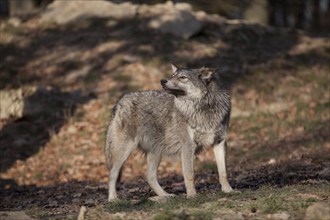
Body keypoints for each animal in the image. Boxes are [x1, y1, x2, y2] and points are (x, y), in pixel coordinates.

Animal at [104, 64, 233, 201]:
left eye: (182, 77)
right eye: (173, 75)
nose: (163, 81)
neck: (204, 108)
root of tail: (120, 101)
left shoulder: (220, 142)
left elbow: (223, 172)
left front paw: (228, 190)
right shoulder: (188, 146)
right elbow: (189, 175)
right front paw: (192, 196)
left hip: (155, 152)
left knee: (150, 177)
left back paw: (166, 195)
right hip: (124, 152)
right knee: (112, 174)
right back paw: (113, 199)